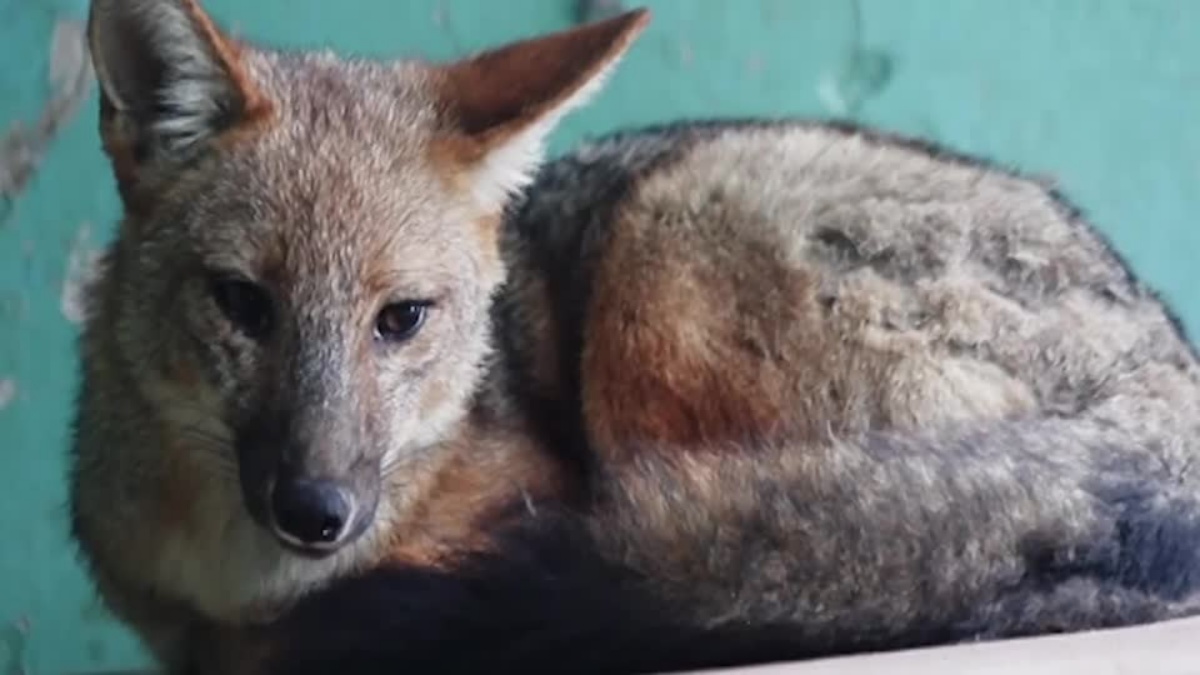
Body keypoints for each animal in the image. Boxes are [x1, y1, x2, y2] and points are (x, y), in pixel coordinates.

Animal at [68, 0, 1200, 667]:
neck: (246, 589)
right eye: (242, 303)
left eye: (402, 320)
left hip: (667, 251)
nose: (316, 510)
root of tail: (1169, 378)